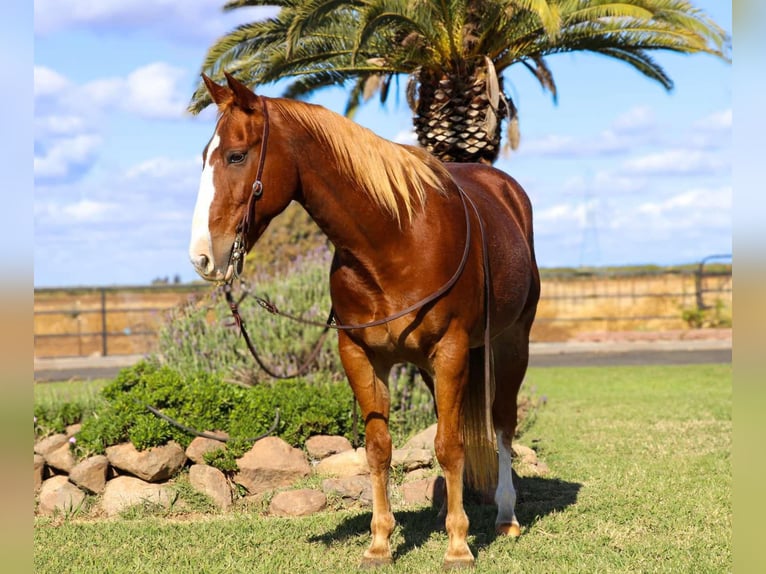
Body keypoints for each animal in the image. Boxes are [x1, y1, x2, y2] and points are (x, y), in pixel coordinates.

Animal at [189, 72, 540, 568]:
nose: (202, 256)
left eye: (236, 155)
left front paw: (458, 547)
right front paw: (380, 543)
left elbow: (451, 446)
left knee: (503, 423)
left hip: (511, 344)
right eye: (205, 157)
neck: (394, 238)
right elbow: (380, 449)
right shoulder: (360, 356)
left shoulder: (451, 349)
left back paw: (505, 516)